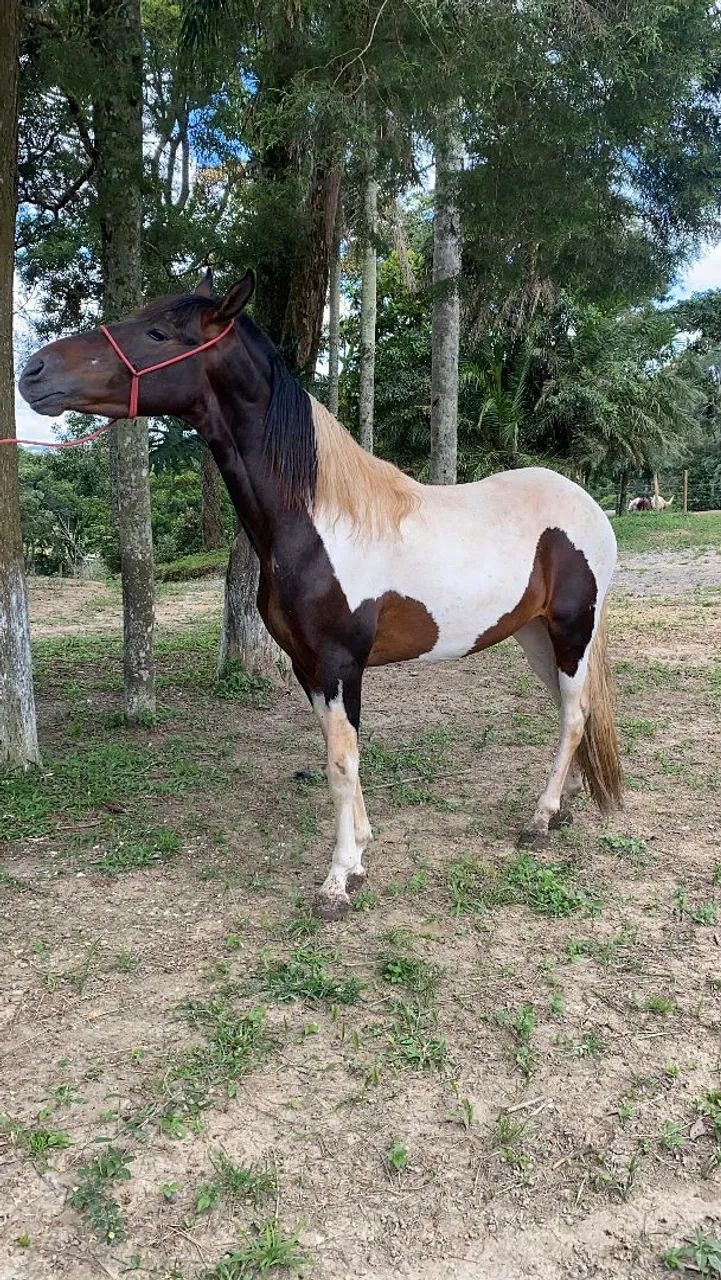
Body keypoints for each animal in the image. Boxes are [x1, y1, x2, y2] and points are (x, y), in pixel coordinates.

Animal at [19, 269, 622, 919]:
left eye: (158, 333)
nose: (34, 371)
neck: (318, 523)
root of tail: (588, 506)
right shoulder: (308, 666)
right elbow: (341, 758)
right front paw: (359, 852)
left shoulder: (339, 665)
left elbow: (340, 762)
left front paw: (337, 881)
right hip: (534, 634)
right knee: (571, 712)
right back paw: (561, 807)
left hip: (571, 631)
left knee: (574, 716)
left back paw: (539, 820)